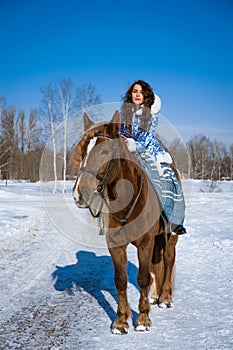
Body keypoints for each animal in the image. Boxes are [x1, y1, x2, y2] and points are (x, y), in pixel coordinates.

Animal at [72, 110, 177, 334]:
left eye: (105, 151)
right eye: (83, 152)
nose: (79, 194)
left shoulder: (145, 243)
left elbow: (143, 278)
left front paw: (143, 319)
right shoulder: (116, 245)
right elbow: (121, 280)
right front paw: (120, 322)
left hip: (171, 236)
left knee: (169, 259)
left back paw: (165, 297)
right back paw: (155, 296)